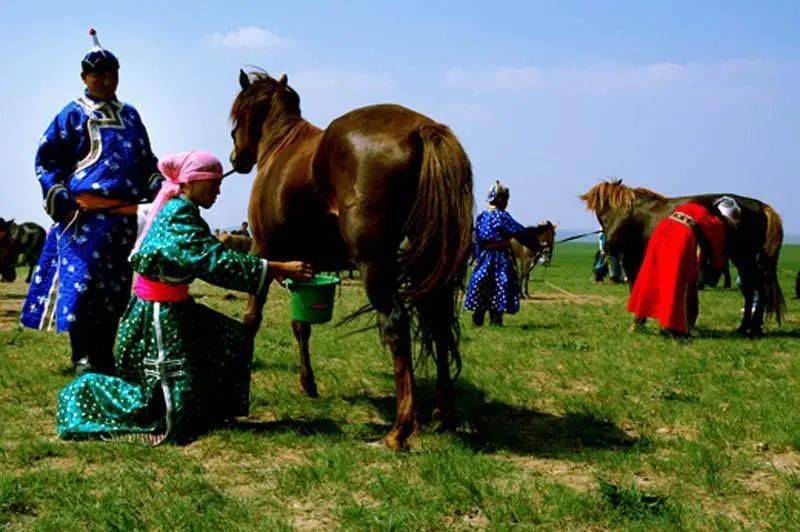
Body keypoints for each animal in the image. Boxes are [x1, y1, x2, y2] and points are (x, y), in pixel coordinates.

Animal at [228, 69, 472, 448]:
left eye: (238, 114)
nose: (235, 158)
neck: (280, 145)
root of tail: (421, 128)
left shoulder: (262, 252)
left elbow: (252, 318)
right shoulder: (305, 266)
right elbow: (301, 325)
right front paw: (308, 383)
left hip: (374, 264)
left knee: (397, 324)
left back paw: (400, 429)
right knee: (439, 323)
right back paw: (442, 414)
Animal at [580, 181, 784, 334]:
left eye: (603, 211)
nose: (609, 245)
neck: (631, 214)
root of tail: (761, 206)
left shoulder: (632, 259)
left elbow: (634, 285)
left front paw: (638, 321)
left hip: (746, 259)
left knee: (756, 290)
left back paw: (751, 327)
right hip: (743, 260)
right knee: (753, 291)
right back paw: (746, 327)